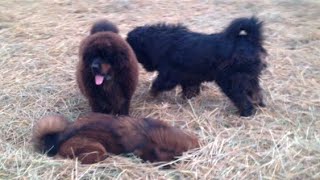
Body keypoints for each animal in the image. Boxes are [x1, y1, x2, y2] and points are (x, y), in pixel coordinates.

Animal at [127, 16, 268, 115]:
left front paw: (150, 95)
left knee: (242, 98)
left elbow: (157, 84)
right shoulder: (189, 78)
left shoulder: (169, 76)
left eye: (136, 52)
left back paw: (246, 113)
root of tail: (251, 40)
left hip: (231, 81)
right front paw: (187, 99)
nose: (145, 67)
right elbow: (189, 89)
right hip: (249, 78)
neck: (162, 40)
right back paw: (259, 104)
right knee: (256, 92)